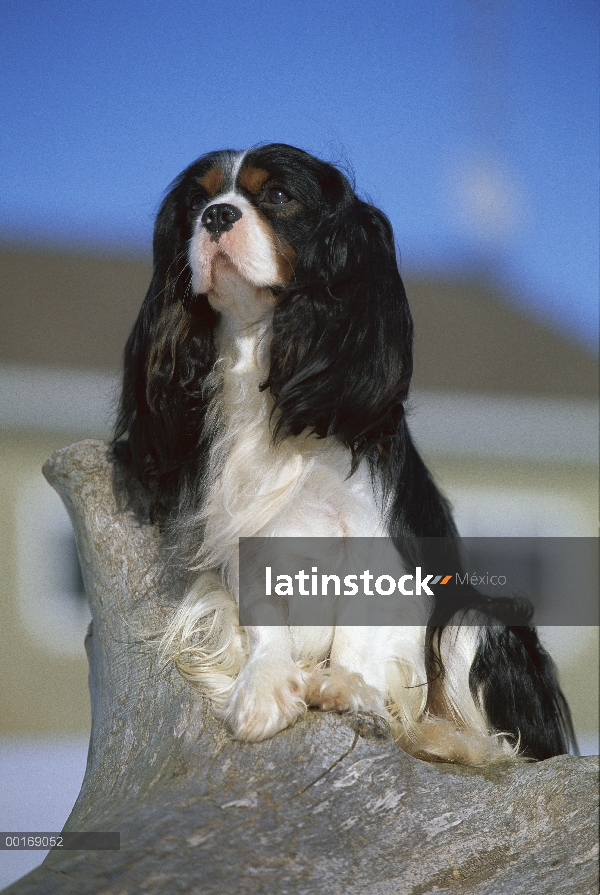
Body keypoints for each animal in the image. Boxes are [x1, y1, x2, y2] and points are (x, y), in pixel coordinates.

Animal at [112, 144, 576, 768]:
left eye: (278, 196)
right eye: (195, 203)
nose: (216, 216)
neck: (265, 352)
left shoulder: (374, 545)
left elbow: (361, 634)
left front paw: (348, 690)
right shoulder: (251, 540)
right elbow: (264, 624)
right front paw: (264, 688)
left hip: (473, 619)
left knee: (508, 745)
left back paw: (440, 735)